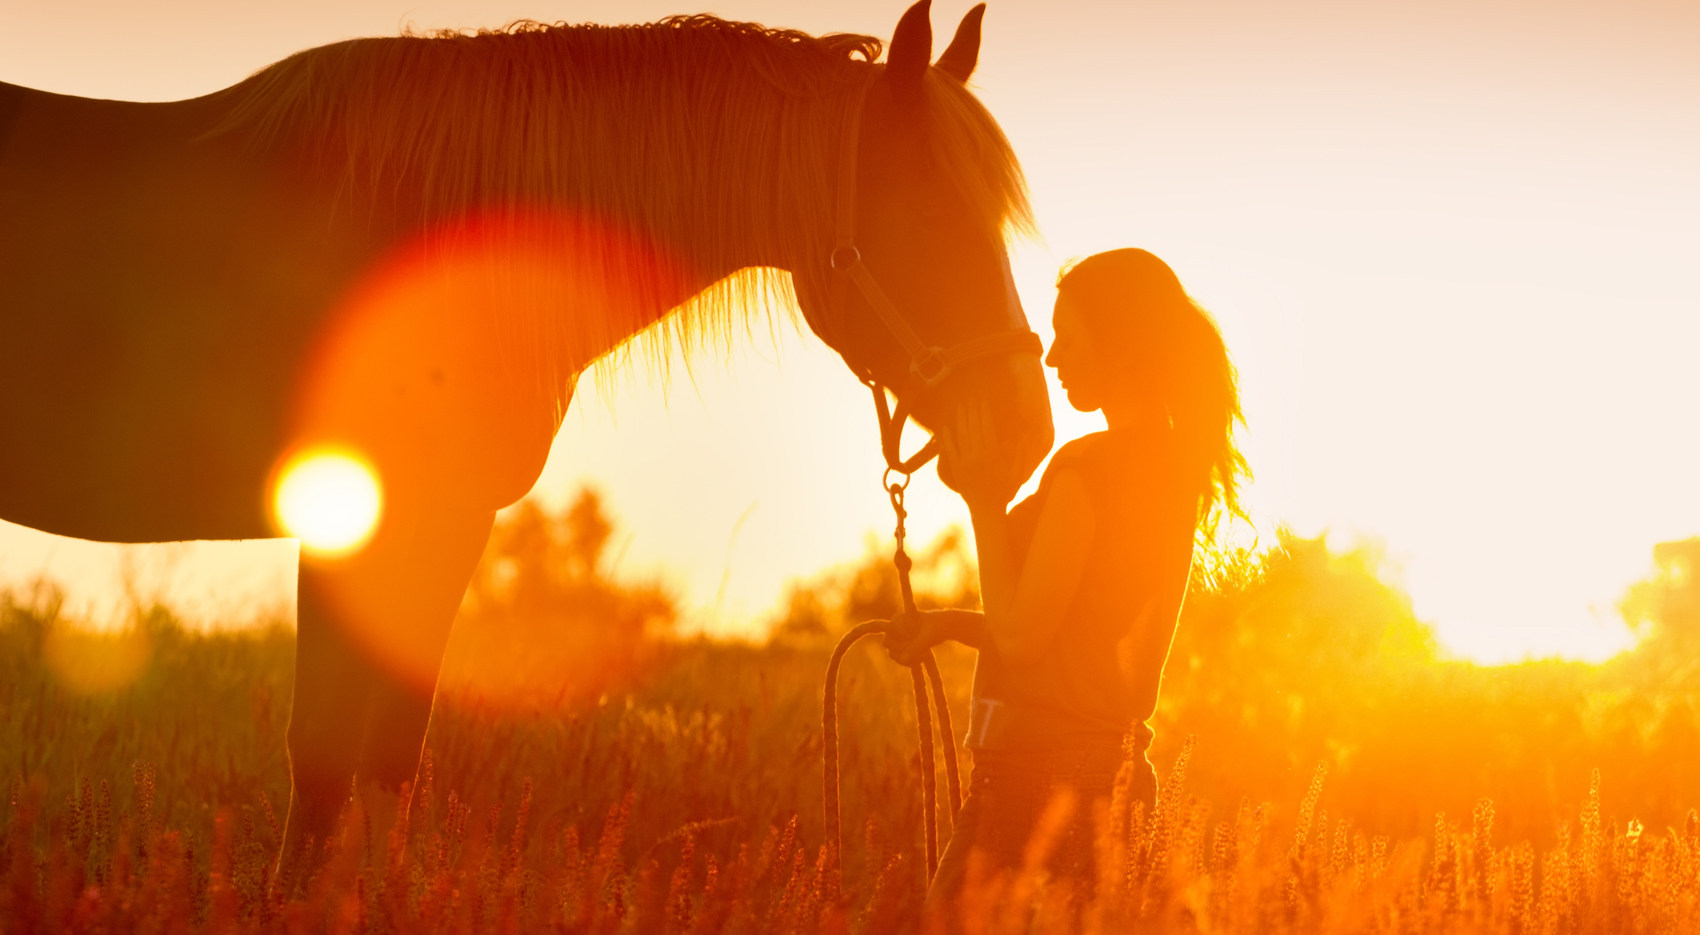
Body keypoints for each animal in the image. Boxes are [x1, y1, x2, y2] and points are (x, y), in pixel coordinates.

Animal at [0, 0, 1053, 872]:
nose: (1023, 432)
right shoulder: (370, 520)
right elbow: (327, 758)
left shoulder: (438, 525)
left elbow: (387, 761)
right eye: (929, 212)